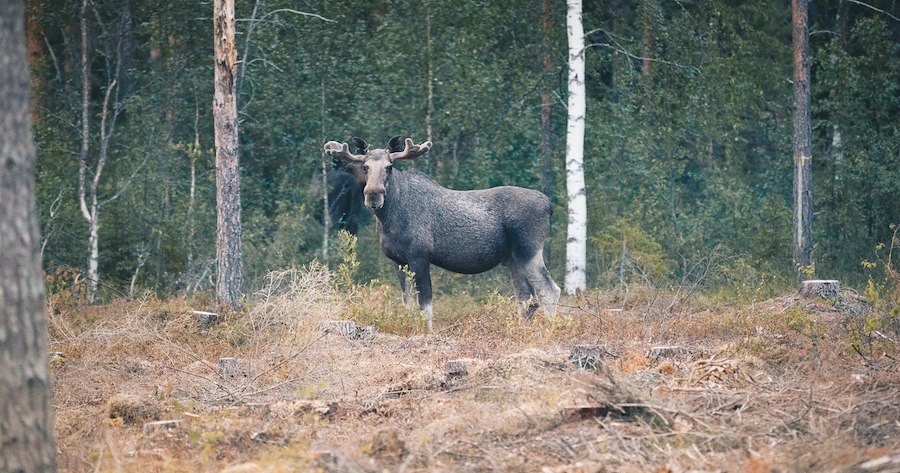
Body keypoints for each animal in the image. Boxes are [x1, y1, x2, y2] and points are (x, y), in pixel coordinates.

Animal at [323, 136, 561, 333]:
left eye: (389, 167)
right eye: (365, 166)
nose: (373, 195)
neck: (389, 219)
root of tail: (549, 205)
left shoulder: (419, 256)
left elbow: (425, 305)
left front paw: (428, 334)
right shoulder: (397, 261)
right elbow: (407, 303)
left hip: (530, 250)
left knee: (550, 290)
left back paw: (551, 330)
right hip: (513, 259)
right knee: (527, 299)